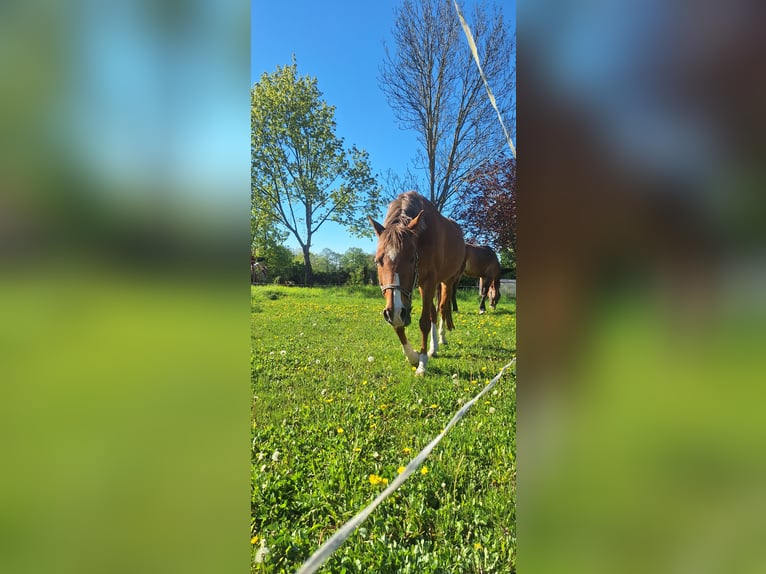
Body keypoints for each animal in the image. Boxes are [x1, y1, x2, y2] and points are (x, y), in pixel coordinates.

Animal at [369, 191, 465, 375]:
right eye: (377, 261)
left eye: (412, 258)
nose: (395, 312)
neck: (422, 237)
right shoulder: (406, 296)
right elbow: (398, 325)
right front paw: (413, 356)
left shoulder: (429, 281)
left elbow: (424, 322)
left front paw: (422, 363)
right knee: (434, 311)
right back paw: (433, 348)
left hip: (447, 281)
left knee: (442, 307)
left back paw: (441, 339)